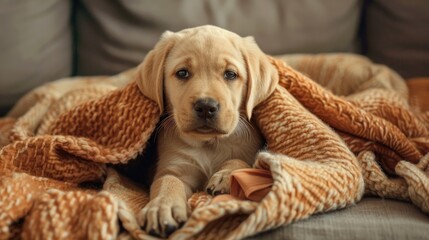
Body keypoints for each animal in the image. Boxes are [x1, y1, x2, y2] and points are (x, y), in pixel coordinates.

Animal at [135, 25, 280, 237]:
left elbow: (240, 160)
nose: (206, 106)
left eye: (230, 74)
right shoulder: (175, 166)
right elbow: (168, 181)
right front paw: (162, 207)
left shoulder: (250, 150)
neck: (209, 143)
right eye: (182, 73)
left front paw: (226, 176)